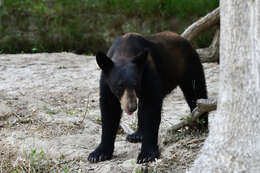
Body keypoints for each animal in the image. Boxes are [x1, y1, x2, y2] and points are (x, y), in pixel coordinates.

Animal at [88, 31, 208, 164]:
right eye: (119, 86)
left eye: (135, 84)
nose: (131, 107)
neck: (124, 52)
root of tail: (185, 41)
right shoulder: (106, 82)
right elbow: (109, 110)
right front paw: (98, 154)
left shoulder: (148, 72)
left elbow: (151, 108)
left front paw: (147, 154)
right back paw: (136, 135)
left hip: (190, 66)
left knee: (196, 92)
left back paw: (202, 125)